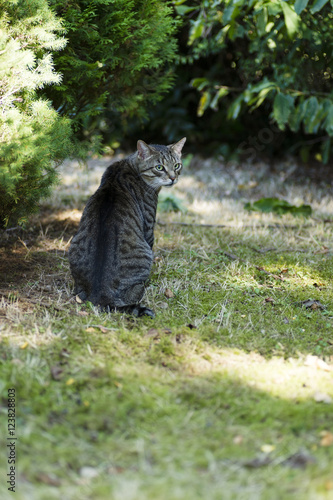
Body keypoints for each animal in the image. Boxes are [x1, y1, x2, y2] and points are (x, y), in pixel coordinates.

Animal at [68, 137, 185, 316]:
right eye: (159, 167)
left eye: (177, 165)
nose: (173, 178)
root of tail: (101, 292)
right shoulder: (148, 227)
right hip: (144, 253)